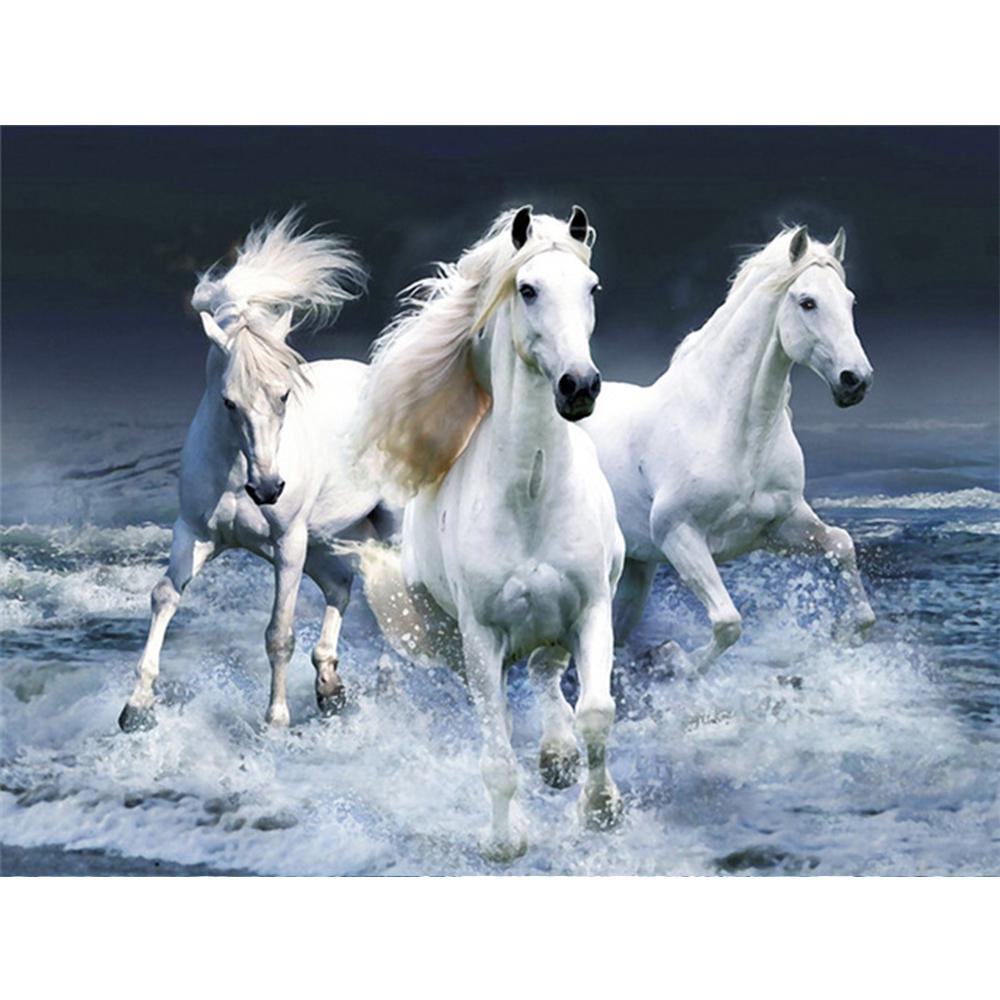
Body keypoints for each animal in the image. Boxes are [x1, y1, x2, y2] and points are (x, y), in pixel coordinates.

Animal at [119, 210, 394, 732]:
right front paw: (136, 706)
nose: (267, 488)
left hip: (380, 529)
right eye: (229, 401)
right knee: (342, 586)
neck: (234, 472)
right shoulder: (195, 534)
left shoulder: (287, 543)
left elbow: (278, 632)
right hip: (325, 539)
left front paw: (276, 720)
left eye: (284, 394)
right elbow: (164, 596)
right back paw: (330, 686)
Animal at [346, 206, 625, 861]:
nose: (580, 387)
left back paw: (558, 758)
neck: (532, 495)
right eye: (527, 289)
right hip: (453, 641)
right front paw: (504, 842)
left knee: (547, 673)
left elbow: (596, 712)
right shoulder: (481, 636)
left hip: (558, 623)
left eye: (592, 288)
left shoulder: (591, 608)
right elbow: (497, 757)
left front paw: (601, 809)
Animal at [582, 225, 876, 675]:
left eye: (849, 301)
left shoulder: (779, 527)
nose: (855, 380)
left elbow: (842, 544)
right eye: (807, 302)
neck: (731, 431)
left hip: (635, 569)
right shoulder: (679, 536)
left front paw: (845, 632)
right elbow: (728, 622)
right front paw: (673, 659)